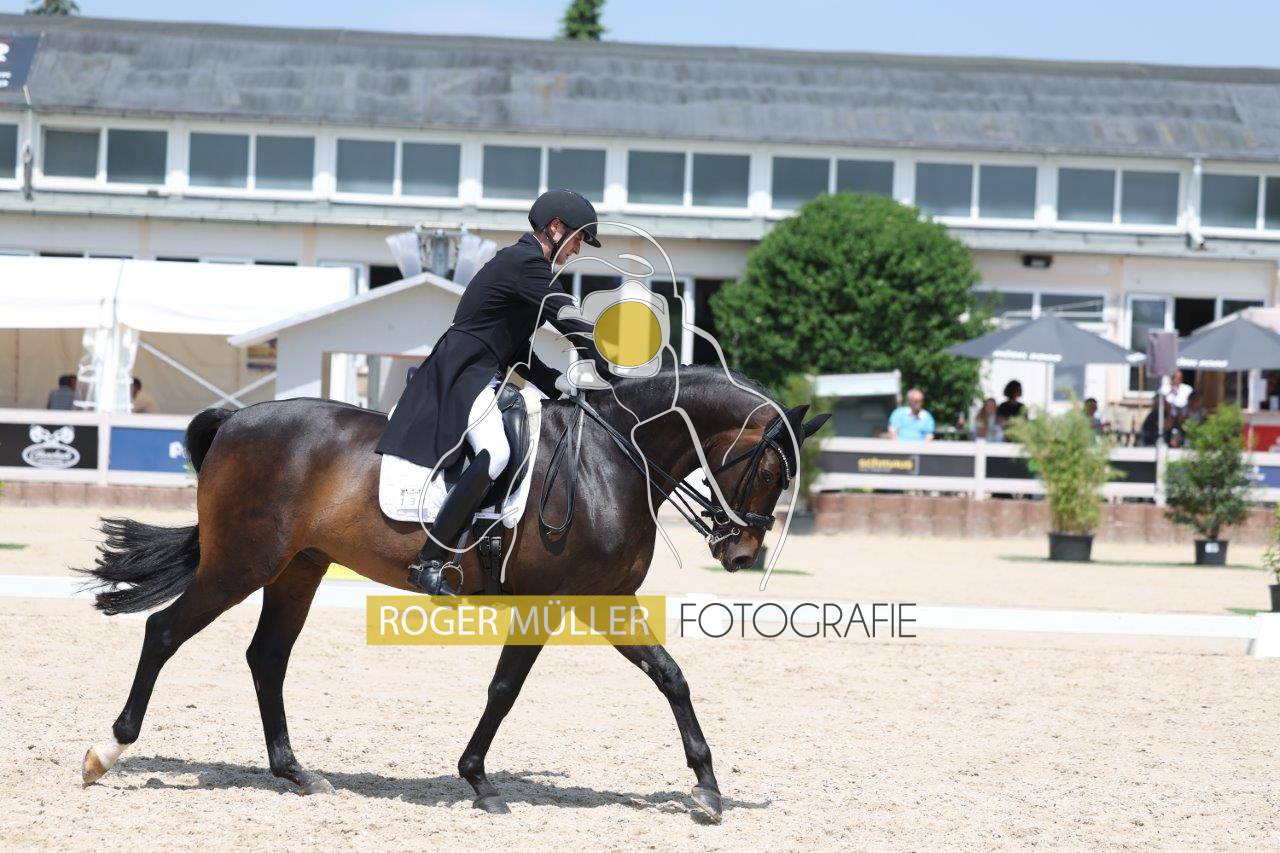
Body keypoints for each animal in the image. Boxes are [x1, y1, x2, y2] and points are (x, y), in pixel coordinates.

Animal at [77, 364, 827, 822]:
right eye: (770, 468)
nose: (741, 554)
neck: (611, 460)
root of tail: (235, 421)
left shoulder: (604, 599)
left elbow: (671, 677)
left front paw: (706, 789)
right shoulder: (550, 602)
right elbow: (505, 688)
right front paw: (479, 780)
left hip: (298, 568)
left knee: (266, 658)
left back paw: (296, 772)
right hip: (242, 563)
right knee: (165, 633)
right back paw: (106, 752)